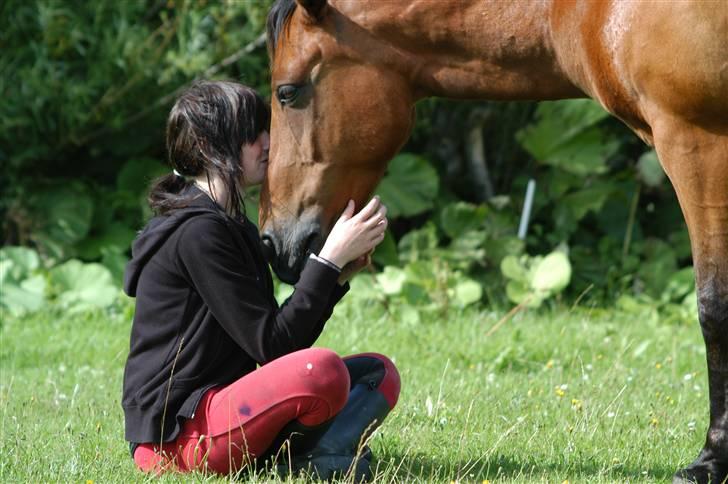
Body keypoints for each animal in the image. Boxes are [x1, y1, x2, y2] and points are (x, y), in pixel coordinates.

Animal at [260, 0, 728, 480]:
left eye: (287, 92)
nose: (272, 242)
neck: (586, 14)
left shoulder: (698, 143)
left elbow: (714, 307)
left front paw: (710, 460)